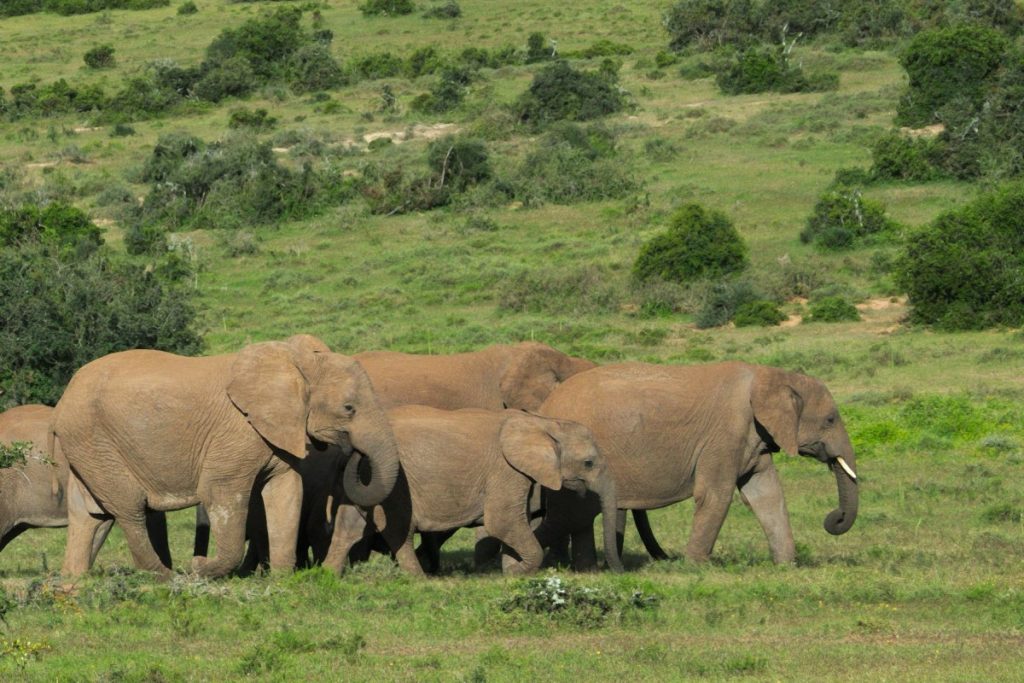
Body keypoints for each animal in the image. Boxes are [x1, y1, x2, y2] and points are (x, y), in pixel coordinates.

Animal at [52, 333, 399, 581]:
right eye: (349, 409)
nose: (353, 454)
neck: (297, 364)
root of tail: (63, 398)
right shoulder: (237, 432)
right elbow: (221, 493)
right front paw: (201, 568)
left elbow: (287, 492)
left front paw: (284, 580)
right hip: (93, 438)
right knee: (129, 507)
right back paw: (166, 577)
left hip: (86, 447)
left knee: (90, 514)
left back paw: (73, 584)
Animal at [321, 405, 622, 577]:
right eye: (589, 463)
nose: (618, 573)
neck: (544, 422)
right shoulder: (505, 469)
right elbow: (502, 521)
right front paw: (517, 572)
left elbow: (516, 520)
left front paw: (509, 570)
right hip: (394, 486)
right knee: (398, 529)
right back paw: (419, 579)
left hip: (363, 480)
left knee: (348, 527)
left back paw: (327, 577)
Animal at [536, 360, 856, 569]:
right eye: (830, 420)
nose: (834, 519)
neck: (771, 375)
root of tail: (545, 404)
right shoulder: (724, 435)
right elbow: (716, 495)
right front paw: (695, 569)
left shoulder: (754, 436)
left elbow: (766, 494)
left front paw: (786, 567)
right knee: (573, 513)